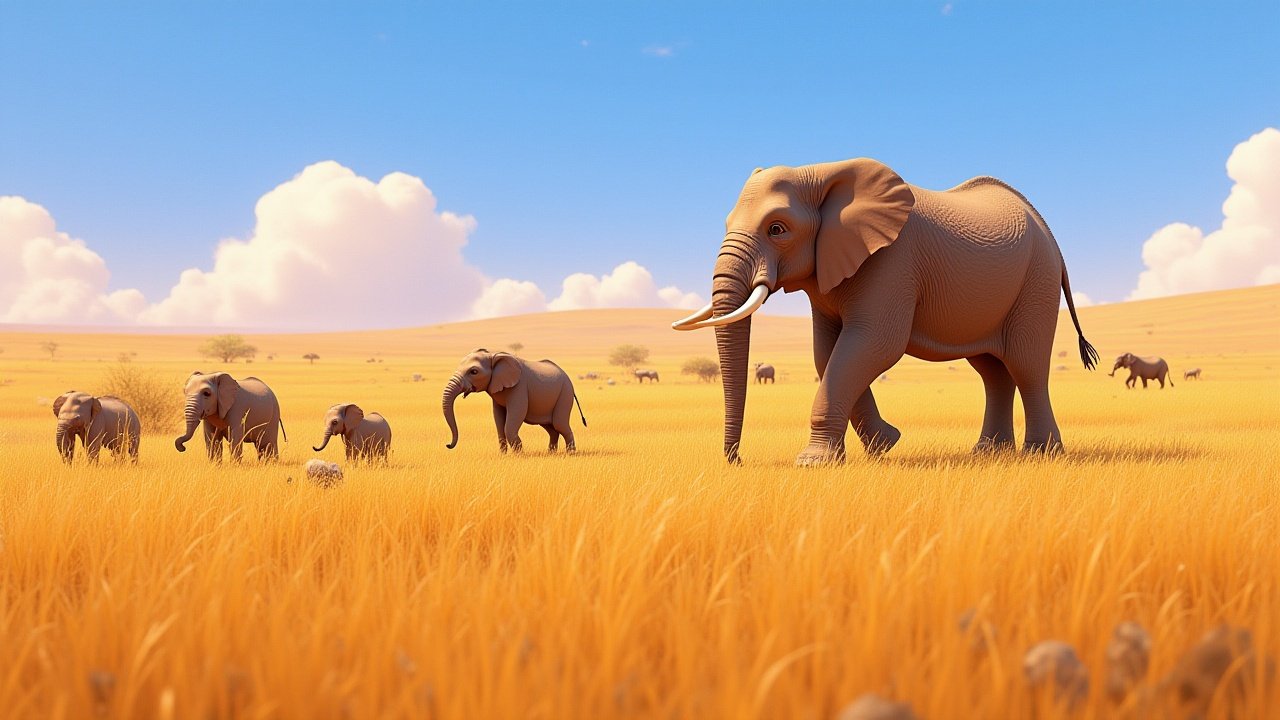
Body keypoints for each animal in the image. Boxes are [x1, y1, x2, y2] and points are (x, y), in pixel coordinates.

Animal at [443, 349, 587, 453]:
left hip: (565, 393)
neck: (493, 354)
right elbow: (498, 419)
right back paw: (551, 453)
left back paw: (570, 454)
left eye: (474, 371)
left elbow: (514, 418)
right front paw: (504, 455)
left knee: (560, 425)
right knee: (551, 429)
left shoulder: (519, 388)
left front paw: (519, 455)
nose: (448, 445)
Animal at [672, 158, 1098, 465]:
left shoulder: (892, 262)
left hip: (1037, 280)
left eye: (777, 229)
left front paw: (813, 463)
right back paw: (988, 453)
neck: (824, 171)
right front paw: (883, 446)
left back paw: (1042, 455)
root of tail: (1046, 227)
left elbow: (871, 344)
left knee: (1026, 365)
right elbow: (828, 352)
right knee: (992, 372)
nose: (736, 460)